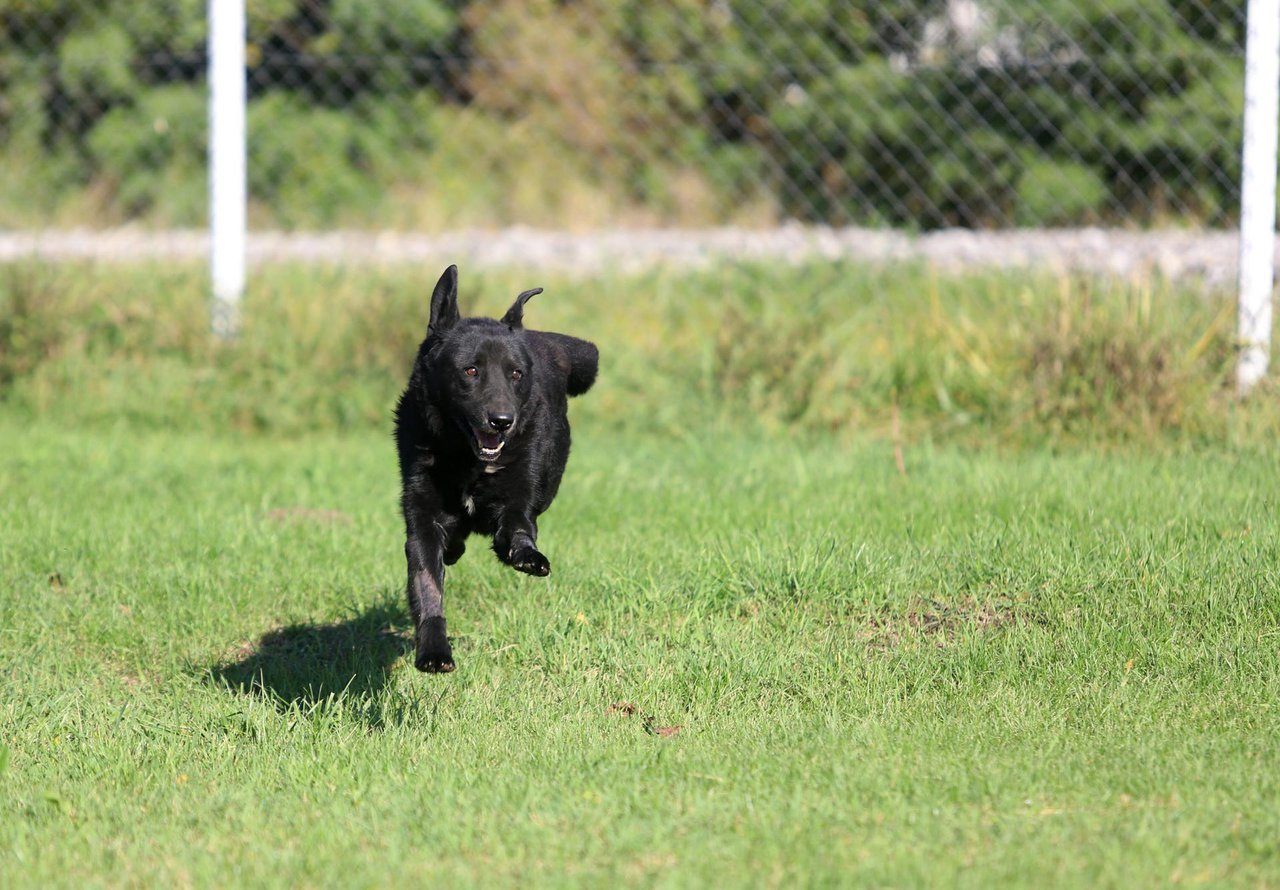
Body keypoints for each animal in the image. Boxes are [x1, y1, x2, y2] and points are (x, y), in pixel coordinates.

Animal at [391, 267, 596, 671]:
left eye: (515, 374)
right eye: (470, 370)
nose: (502, 421)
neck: (470, 464)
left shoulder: (519, 504)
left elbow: (516, 533)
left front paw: (527, 556)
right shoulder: (423, 522)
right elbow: (428, 588)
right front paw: (434, 651)